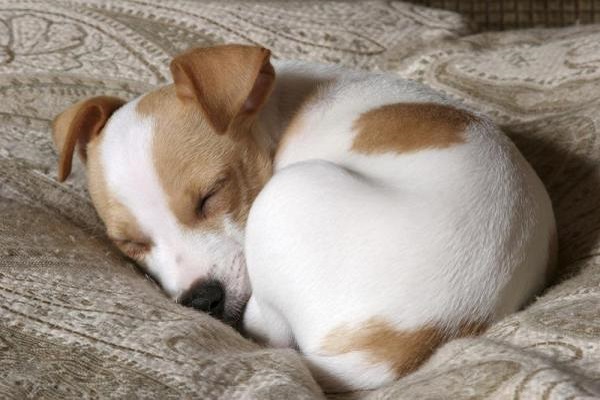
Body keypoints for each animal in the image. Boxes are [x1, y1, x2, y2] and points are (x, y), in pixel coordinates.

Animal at [51, 43, 556, 390]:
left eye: (211, 196)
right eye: (130, 244)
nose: (201, 299)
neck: (271, 108)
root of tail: (392, 348)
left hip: (283, 198)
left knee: (269, 327)